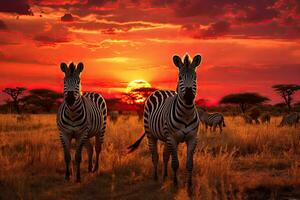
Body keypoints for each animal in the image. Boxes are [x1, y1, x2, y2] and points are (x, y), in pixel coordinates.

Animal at [127, 54, 202, 189]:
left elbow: (189, 163)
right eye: (180, 77)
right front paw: (175, 183)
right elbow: (175, 163)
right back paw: (156, 177)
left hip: (166, 137)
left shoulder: (193, 138)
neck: (186, 114)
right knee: (155, 156)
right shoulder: (172, 138)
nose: (189, 98)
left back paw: (165, 175)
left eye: (195, 77)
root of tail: (160, 90)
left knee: (165, 155)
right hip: (151, 135)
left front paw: (189, 185)